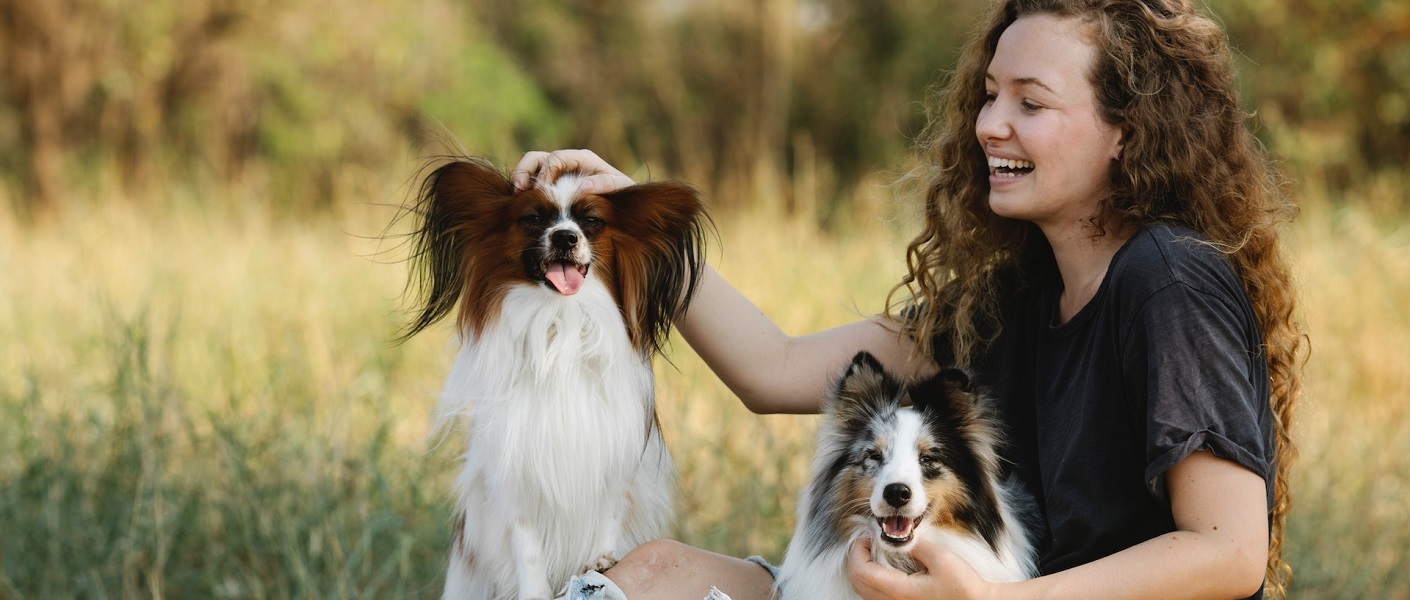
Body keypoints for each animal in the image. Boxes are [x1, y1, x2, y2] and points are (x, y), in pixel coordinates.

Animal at [400, 155, 710, 600]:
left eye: (592, 221)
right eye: (533, 218)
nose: (565, 237)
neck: (559, 321)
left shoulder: (613, 457)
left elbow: (608, 515)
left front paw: (602, 560)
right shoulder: (515, 468)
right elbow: (526, 545)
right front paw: (535, 590)